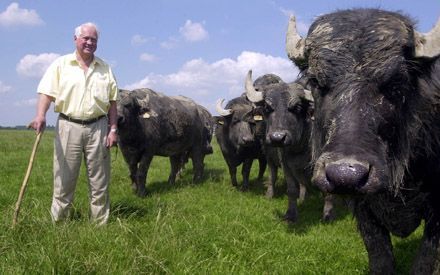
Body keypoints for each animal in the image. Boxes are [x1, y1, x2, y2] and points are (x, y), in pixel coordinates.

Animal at [246, 70, 336, 222]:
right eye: (267, 108)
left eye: (297, 107)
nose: (277, 138)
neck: (302, 147)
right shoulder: (286, 165)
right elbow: (292, 189)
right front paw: (291, 214)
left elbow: (327, 189)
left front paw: (328, 214)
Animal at [286, 7, 440, 274]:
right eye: (316, 82)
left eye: (396, 83)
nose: (345, 175)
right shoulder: (363, 209)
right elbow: (380, 257)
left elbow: (425, 262)